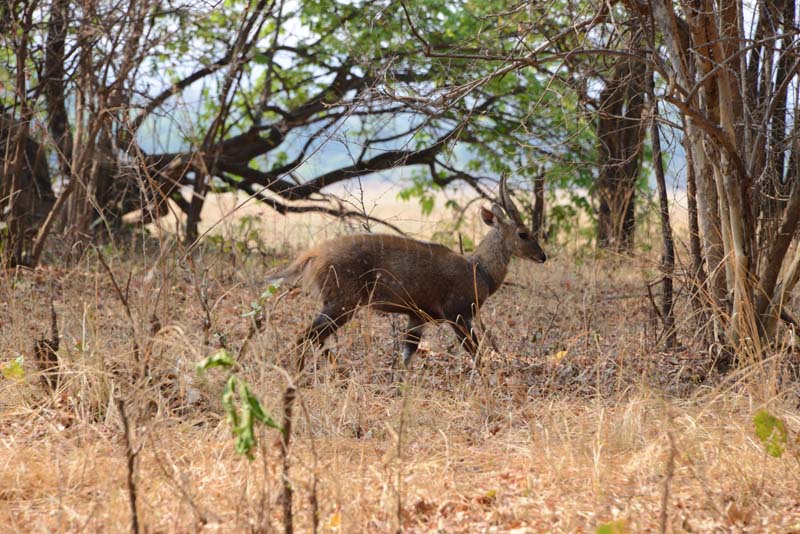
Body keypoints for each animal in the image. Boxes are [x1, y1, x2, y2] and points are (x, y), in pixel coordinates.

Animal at [272, 178, 548, 374]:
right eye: (523, 233)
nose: (543, 256)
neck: (479, 271)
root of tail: (312, 256)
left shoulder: (417, 316)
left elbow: (407, 357)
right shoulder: (457, 313)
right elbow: (476, 353)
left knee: (314, 338)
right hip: (342, 302)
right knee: (306, 336)